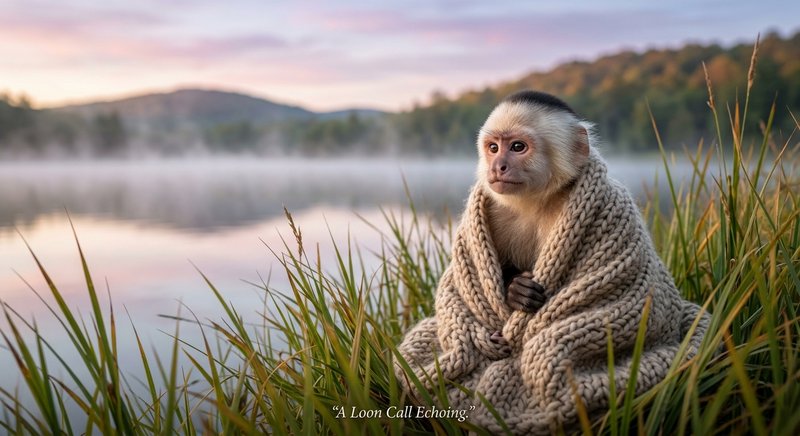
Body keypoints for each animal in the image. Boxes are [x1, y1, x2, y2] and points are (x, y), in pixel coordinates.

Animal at [477, 91, 592, 343]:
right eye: (493, 148)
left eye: (518, 147)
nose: (497, 166)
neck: (534, 202)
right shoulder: (496, 208)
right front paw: (515, 291)